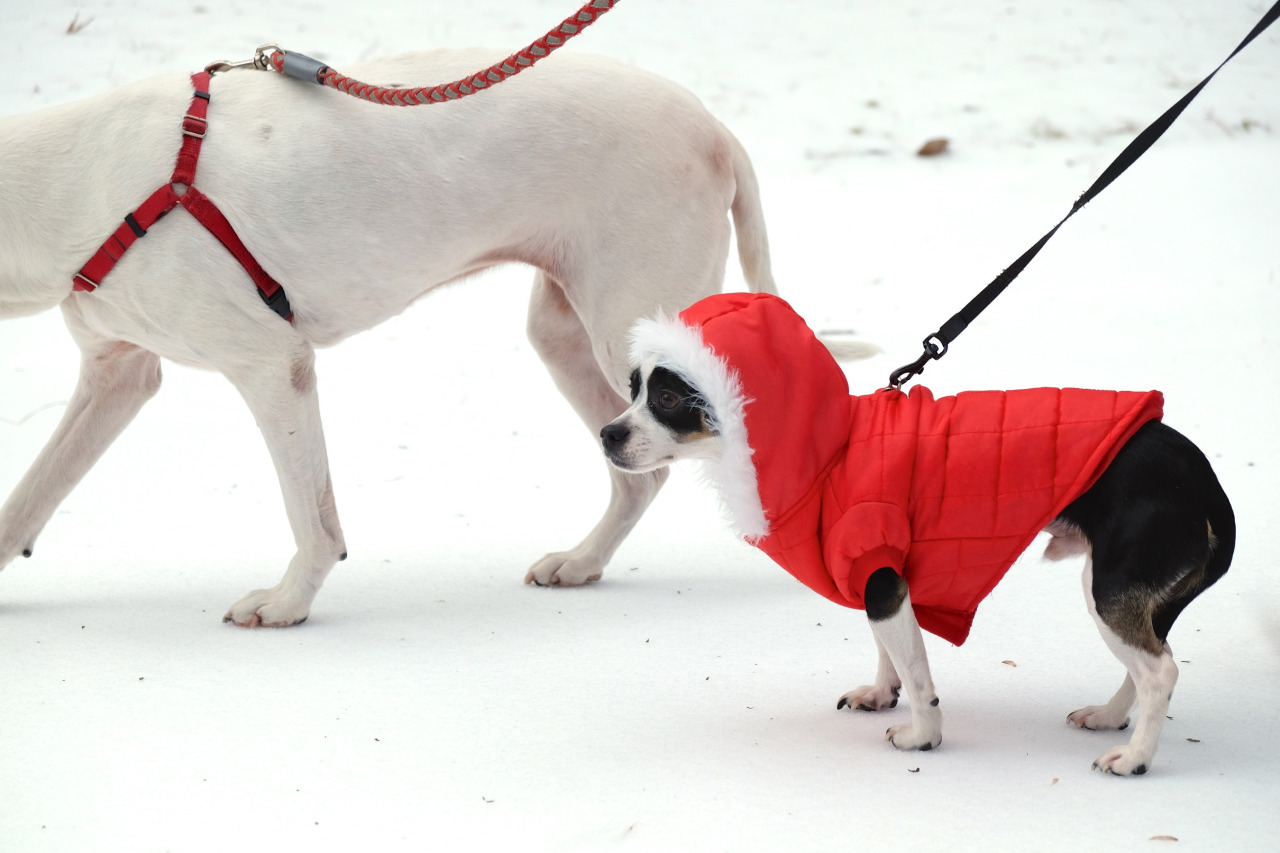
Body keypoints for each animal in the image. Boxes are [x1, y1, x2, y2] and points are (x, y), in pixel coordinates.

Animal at [0, 51, 773, 625]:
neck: (64, 187)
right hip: (569, 339)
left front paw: (287, 602)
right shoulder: (117, 375)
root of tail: (715, 127)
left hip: (633, 334)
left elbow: (313, 519)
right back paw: (581, 562)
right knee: (639, 479)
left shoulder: (272, 364)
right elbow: (26, 499)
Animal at [604, 290, 1233, 768]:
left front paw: (923, 735)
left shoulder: (881, 579)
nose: (608, 434)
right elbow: (889, 652)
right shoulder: (880, 577)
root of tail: (1204, 482)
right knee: (1151, 661)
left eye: (667, 397)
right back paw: (1109, 717)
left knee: (1160, 671)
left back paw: (1135, 758)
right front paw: (883, 694)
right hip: (1128, 591)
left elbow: (917, 671)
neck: (830, 453)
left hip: (1113, 587)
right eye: (633, 388)